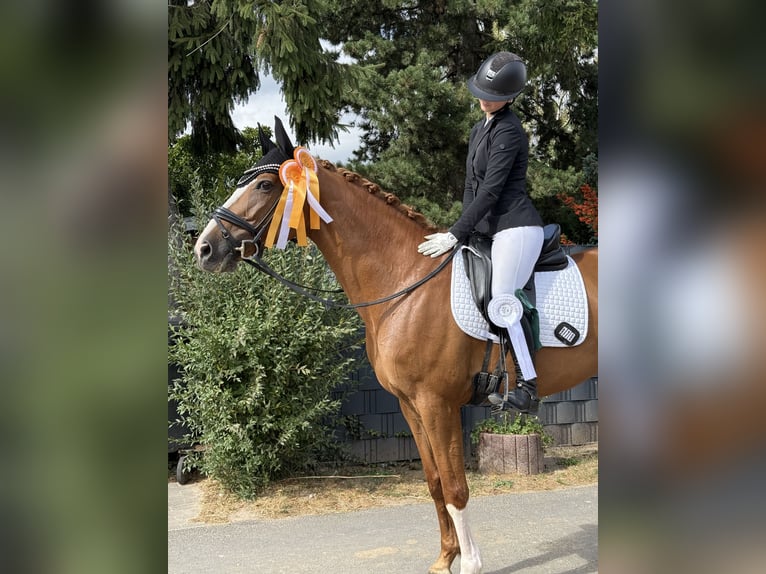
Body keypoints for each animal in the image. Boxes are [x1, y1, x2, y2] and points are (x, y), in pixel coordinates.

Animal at [194, 119, 598, 574]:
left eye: (264, 185)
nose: (204, 249)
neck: (405, 280)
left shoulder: (438, 404)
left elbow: (456, 488)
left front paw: (470, 564)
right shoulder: (411, 405)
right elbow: (435, 482)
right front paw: (444, 559)